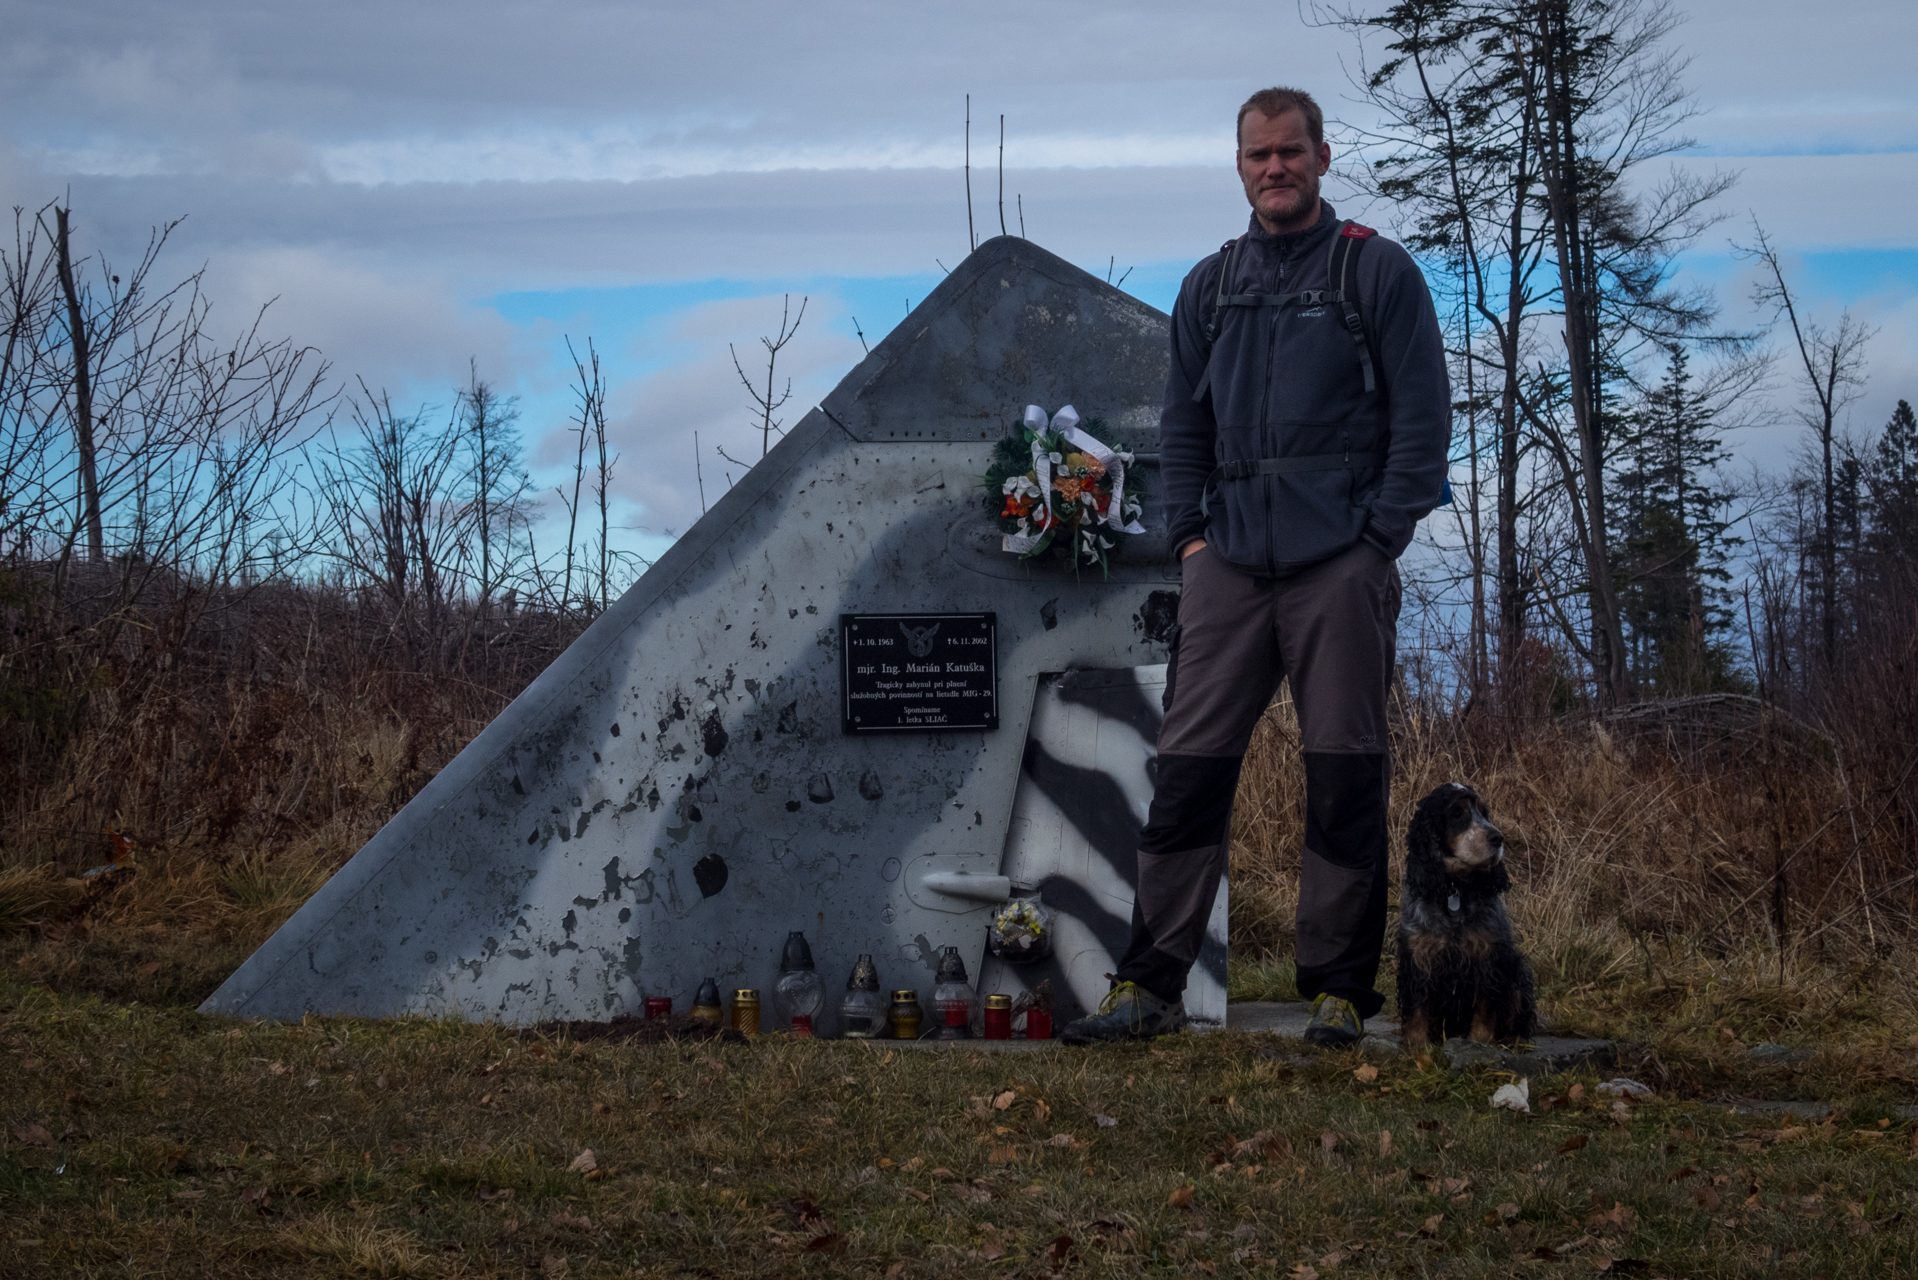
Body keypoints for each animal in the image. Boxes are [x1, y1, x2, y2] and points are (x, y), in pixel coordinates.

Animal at [1396, 782, 1526, 1051]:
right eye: (1457, 813)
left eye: (1485, 813)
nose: (1498, 838)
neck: (1454, 889)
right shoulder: (1418, 955)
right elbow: (1417, 1007)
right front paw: (1417, 1047)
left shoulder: (1488, 957)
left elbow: (1485, 1009)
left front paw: (1480, 1043)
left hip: (1518, 970)